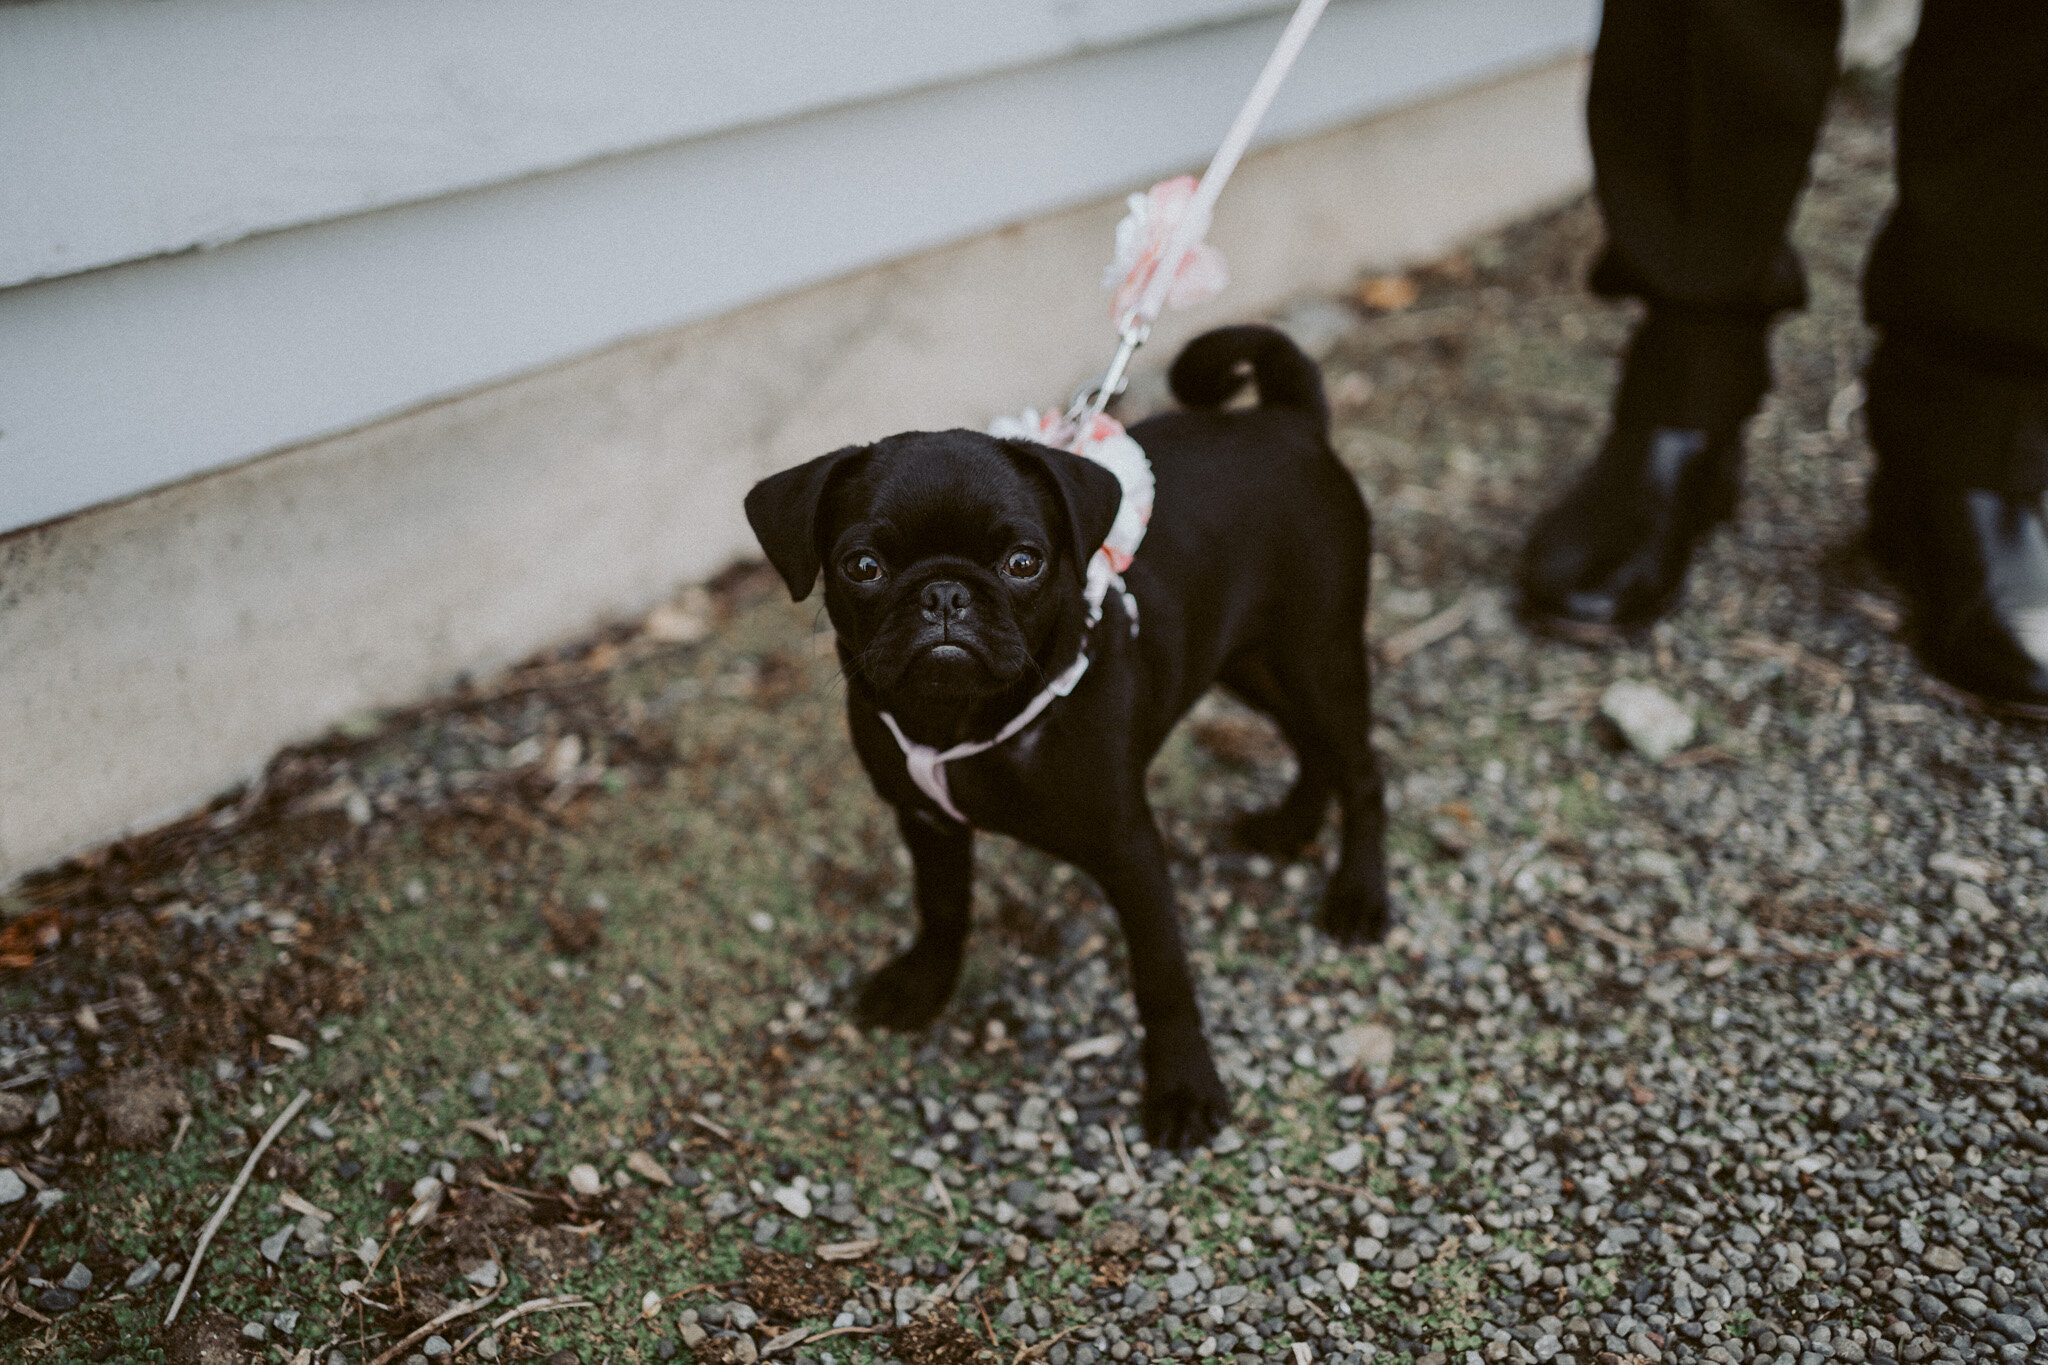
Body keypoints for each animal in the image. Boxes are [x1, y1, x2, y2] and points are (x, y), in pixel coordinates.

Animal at [745, 325, 1384, 1146]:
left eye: (1024, 562)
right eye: (862, 566)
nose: (945, 592)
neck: (965, 721)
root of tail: (1287, 418)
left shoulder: (1130, 850)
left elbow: (1162, 976)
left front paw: (1184, 1089)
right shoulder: (926, 822)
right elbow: (941, 908)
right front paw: (925, 983)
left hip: (1317, 651)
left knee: (1360, 767)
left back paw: (1359, 896)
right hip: (1250, 657)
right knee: (1311, 744)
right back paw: (1289, 825)